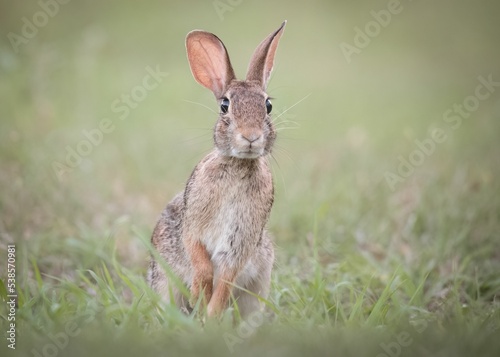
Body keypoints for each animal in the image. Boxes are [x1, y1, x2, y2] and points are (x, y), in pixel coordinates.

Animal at [148, 21, 288, 318]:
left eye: (268, 106)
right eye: (225, 105)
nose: (251, 136)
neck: (238, 164)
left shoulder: (242, 240)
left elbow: (226, 279)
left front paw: (210, 315)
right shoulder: (193, 226)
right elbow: (200, 260)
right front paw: (200, 297)